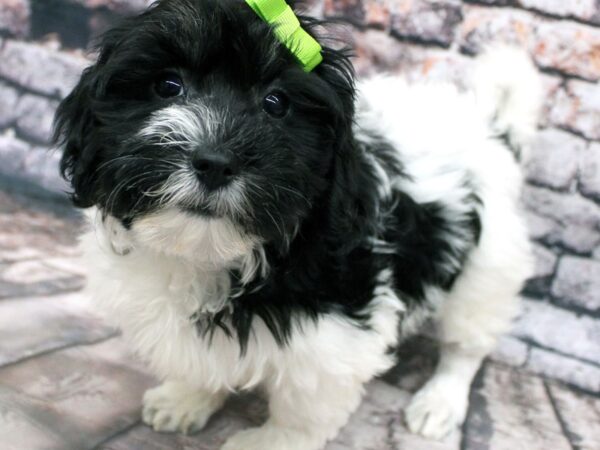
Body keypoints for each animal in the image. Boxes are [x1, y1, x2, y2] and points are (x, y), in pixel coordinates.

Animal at [54, 1, 540, 448]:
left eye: (276, 104)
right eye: (168, 85)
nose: (215, 162)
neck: (210, 254)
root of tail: (489, 127)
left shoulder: (339, 333)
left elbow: (304, 407)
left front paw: (271, 441)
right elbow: (201, 361)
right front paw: (185, 397)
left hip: (486, 266)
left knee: (466, 344)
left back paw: (441, 400)